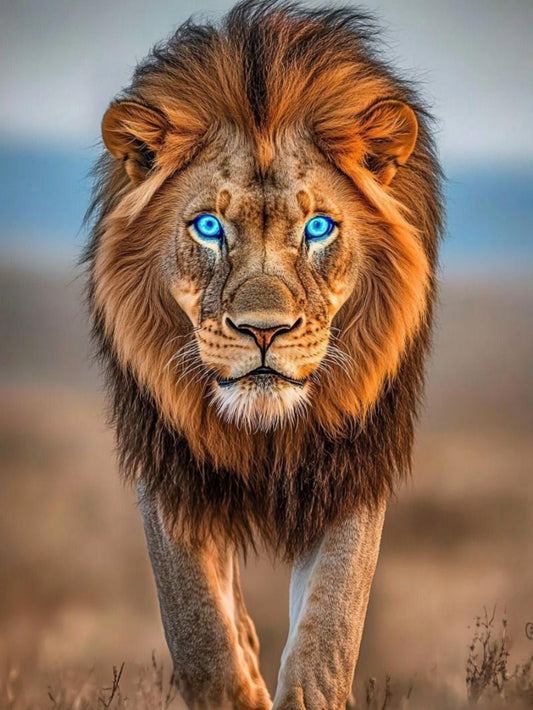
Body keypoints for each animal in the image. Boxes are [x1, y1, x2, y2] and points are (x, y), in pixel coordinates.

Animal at [84, 1, 442, 708]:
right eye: (208, 226)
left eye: (318, 227)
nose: (263, 331)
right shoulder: (170, 460)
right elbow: (197, 626)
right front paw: (239, 684)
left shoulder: (354, 459)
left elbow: (330, 627)